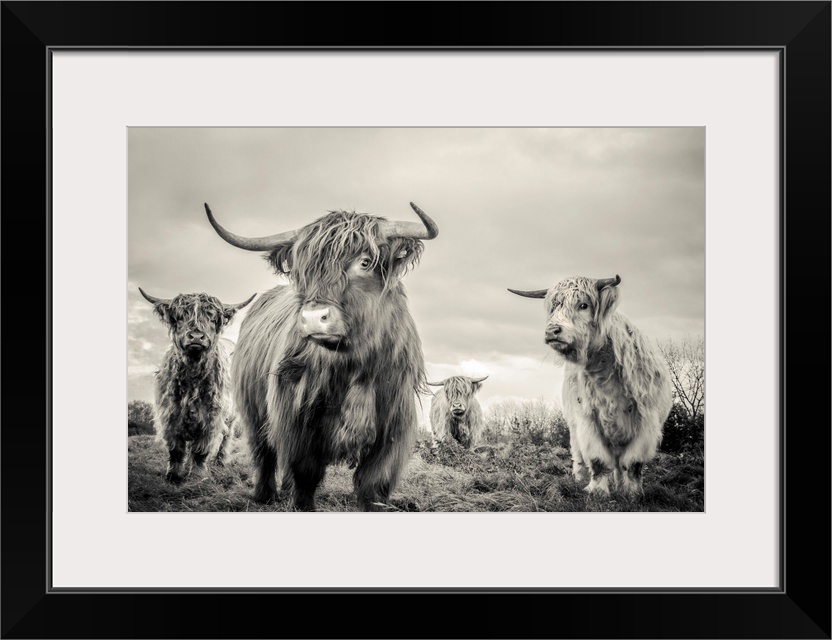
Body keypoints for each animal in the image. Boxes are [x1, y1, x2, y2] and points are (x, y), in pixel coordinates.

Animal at [140, 288, 254, 482]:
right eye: (179, 316)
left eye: (213, 318)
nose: (196, 337)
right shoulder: (170, 413)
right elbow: (176, 448)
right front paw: (173, 475)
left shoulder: (211, 415)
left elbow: (201, 448)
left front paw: (197, 476)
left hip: (231, 416)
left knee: (226, 437)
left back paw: (220, 461)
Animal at [205, 200, 438, 510]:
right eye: (303, 269)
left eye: (365, 262)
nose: (314, 318)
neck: (355, 367)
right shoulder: (297, 420)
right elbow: (305, 473)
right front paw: (300, 503)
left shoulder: (392, 427)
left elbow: (372, 482)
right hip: (252, 410)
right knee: (263, 453)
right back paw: (265, 495)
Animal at [508, 276, 676, 496]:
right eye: (554, 306)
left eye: (583, 305)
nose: (552, 331)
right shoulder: (587, 419)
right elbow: (597, 459)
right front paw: (597, 491)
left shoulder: (647, 421)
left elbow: (633, 463)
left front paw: (632, 493)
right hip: (573, 426)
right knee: (580, 455)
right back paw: (579, 479)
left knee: (619, 464)